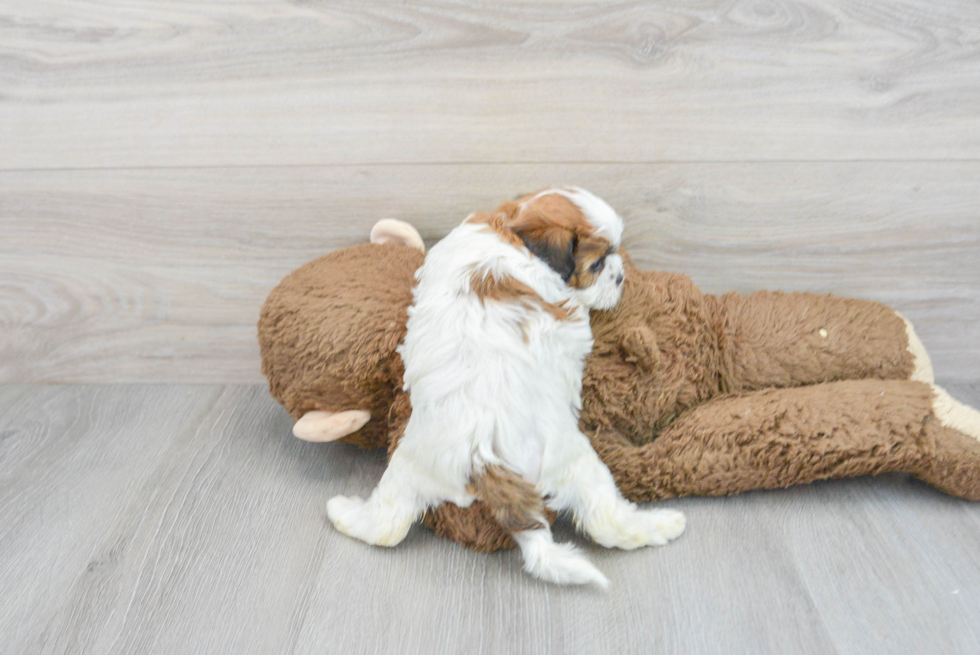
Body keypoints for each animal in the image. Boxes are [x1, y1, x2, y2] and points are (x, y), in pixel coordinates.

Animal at [326, 187, 684, 588]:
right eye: (596, 266)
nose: (620, 276)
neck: (512, 234)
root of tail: (483, 459)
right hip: (574, 460)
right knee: (605, 518)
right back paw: (660, 524)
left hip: (411, 465)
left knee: (387, 524)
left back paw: (345, 515)